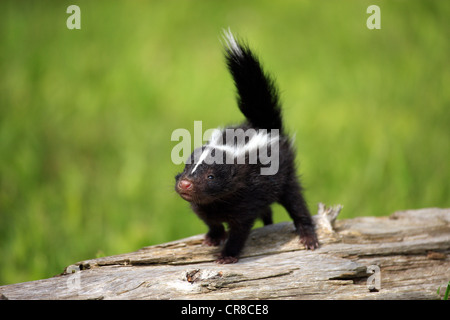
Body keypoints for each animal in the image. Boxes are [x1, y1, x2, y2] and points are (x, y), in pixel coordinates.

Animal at [174, 29, 318, 262]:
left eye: (211, 176)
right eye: (187, 168)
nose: (185, 184)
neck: (218, 202)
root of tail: (265, 126)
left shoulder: (247, 198)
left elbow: (240, 230)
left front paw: (227, 255)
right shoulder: (206, 206)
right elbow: (210, 221)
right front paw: (213, 237)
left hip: (285, 175)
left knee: (296, 202)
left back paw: (308, 236)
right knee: (268, 210)